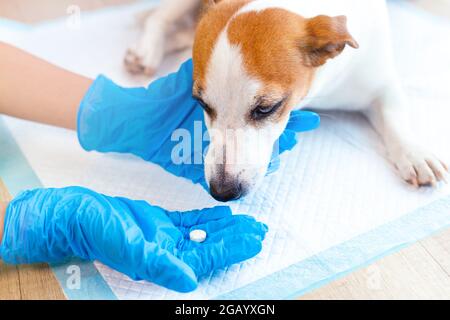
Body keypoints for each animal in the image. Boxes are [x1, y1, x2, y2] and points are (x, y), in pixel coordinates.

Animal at [125, 0, 448, 202]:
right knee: (160, 17)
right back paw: (148, 50)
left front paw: (414, 152)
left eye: (265, 108)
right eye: (203, 105)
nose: (222, 191)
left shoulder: (380, 83)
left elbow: (395, 116)